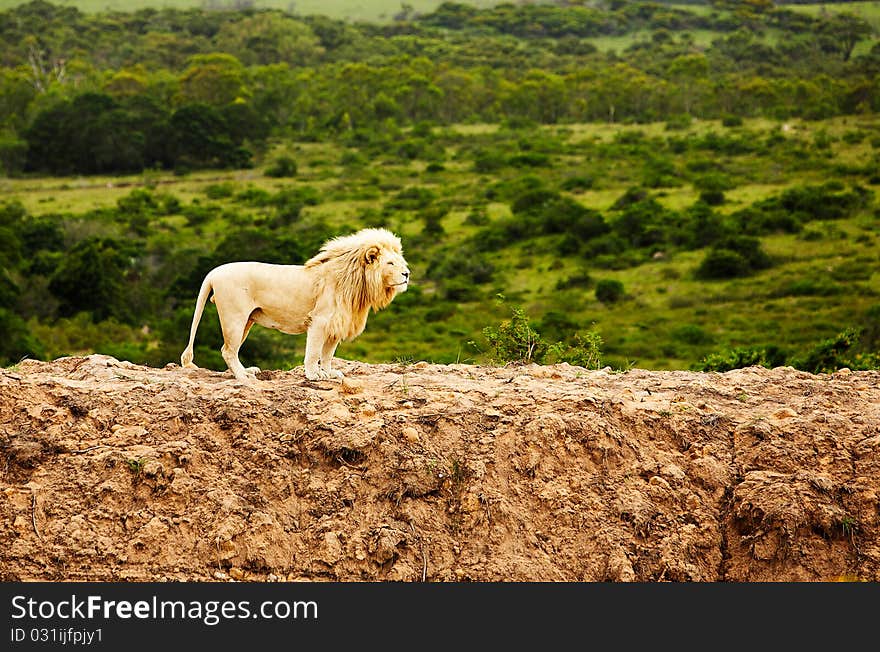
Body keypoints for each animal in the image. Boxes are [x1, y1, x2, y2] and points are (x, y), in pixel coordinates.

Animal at [181, 229, 412, 382]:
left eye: (401, 262)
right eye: (390, 263)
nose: (407, 274)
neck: (355, 283)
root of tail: (214, 272)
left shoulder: (336, 323)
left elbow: (327, 354)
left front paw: (329, 373)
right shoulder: (319, 321)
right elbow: (314, 352)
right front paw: (313, 375)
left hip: (247, 321)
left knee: (232, 350)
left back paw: (246, 372)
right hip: (234, 317)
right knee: (228, 350)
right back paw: (243, 378)